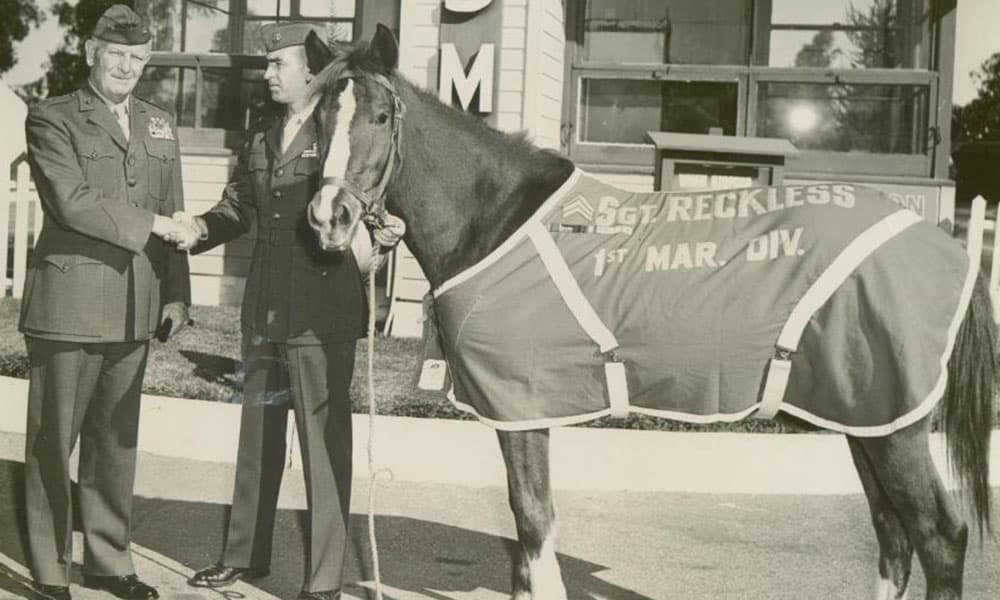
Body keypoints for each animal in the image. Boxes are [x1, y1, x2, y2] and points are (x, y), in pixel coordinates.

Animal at [302, 24, 992, 600]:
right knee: (893, 534)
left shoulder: (523, 408)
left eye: (383, 116)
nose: (330, 216)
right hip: (863, 415)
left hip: (894, 422)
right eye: (317, 123)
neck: (496, 218)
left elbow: (533, 522)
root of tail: (946, 245)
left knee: (938, 536)